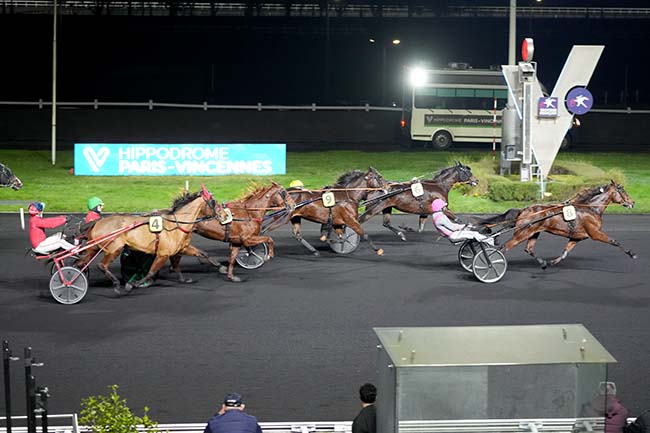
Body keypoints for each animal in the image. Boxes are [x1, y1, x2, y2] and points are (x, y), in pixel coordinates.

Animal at [76, 185, 216, 294]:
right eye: (214, 202)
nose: (219, 215)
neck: (175, 224)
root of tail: (97, 223)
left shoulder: (181, 248)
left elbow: (201, 254)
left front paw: (218, 267)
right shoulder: (163, 254)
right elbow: (151, 272)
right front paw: (132, 284)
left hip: (93, 248)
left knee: (80, 263)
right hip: (114, 248)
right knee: (101, 265)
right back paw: (115, 283)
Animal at [486, 178, 632, 266]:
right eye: (622, 190)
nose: (632, 202)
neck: (591, 208)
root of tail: (523, 210)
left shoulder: (577, 237)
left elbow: (565, 252)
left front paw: (552, 262)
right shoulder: (595, 233)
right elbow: (614, 241)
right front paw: (631, 253)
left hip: (533, 232)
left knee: (529, 249)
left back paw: (543, 263)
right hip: (523, 233)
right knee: (505, 247)